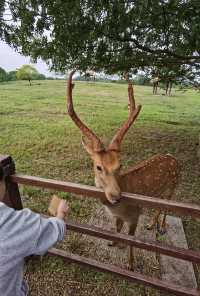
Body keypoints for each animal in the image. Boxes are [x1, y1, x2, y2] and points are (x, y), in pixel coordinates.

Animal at [66, 70, 179, 270]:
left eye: (121, 165)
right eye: (98, 166)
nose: (116, 196)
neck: (120, 209)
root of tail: (175, 160)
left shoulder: (134, 215)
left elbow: (131, 238)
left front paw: (130, 264)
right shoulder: (118, 217)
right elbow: (117, 229)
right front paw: (113, 242)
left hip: (173, 186)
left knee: (167, 206)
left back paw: (162, 226)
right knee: (159, 207)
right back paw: (151, 224)